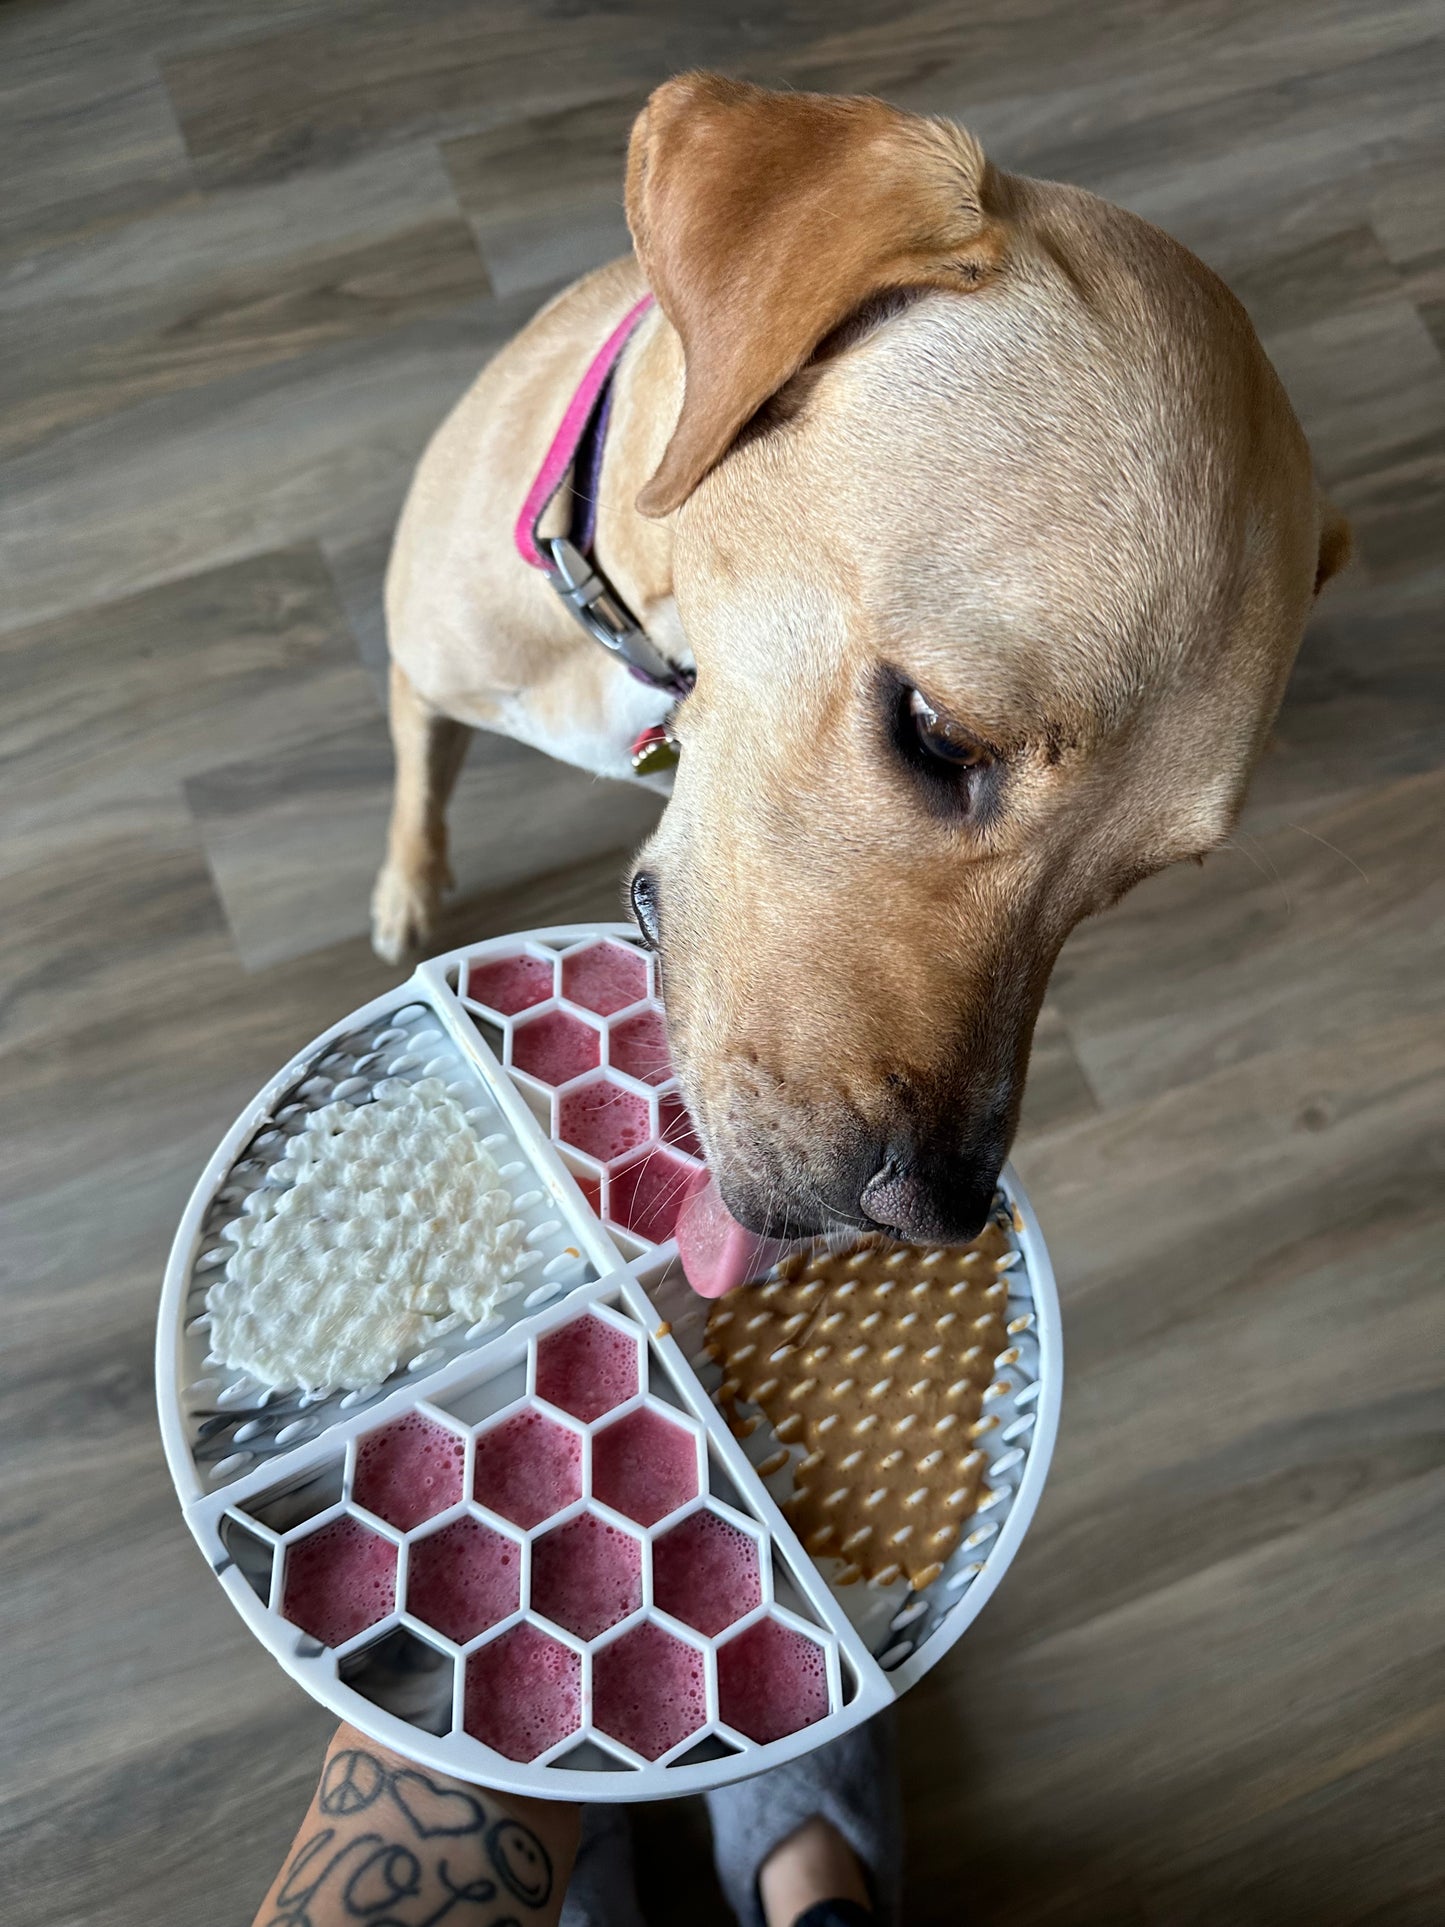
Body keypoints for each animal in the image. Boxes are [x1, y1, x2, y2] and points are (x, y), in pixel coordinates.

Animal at [369, 71, 1348, 1248]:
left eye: (1131, 880)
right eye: (941, 733)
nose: (932, 1210)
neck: (650, 633)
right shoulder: (420, 669)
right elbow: (417, 781)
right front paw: (406, 886)